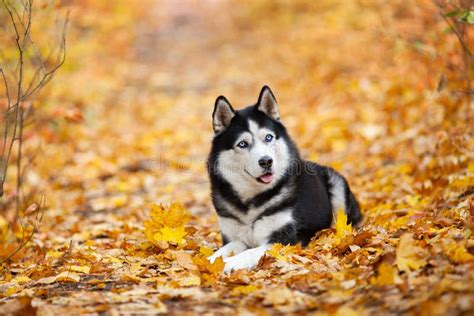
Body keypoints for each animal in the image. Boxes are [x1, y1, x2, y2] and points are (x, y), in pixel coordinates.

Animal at [206, 86, 360, 272]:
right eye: (242, 144)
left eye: (269, 137)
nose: (266, 161)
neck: (251, 202)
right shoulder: (235, 239)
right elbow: (221, 252)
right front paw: (210, 260)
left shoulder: (282, 240)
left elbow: (249, 253)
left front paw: (230, 263)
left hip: (337, 184)